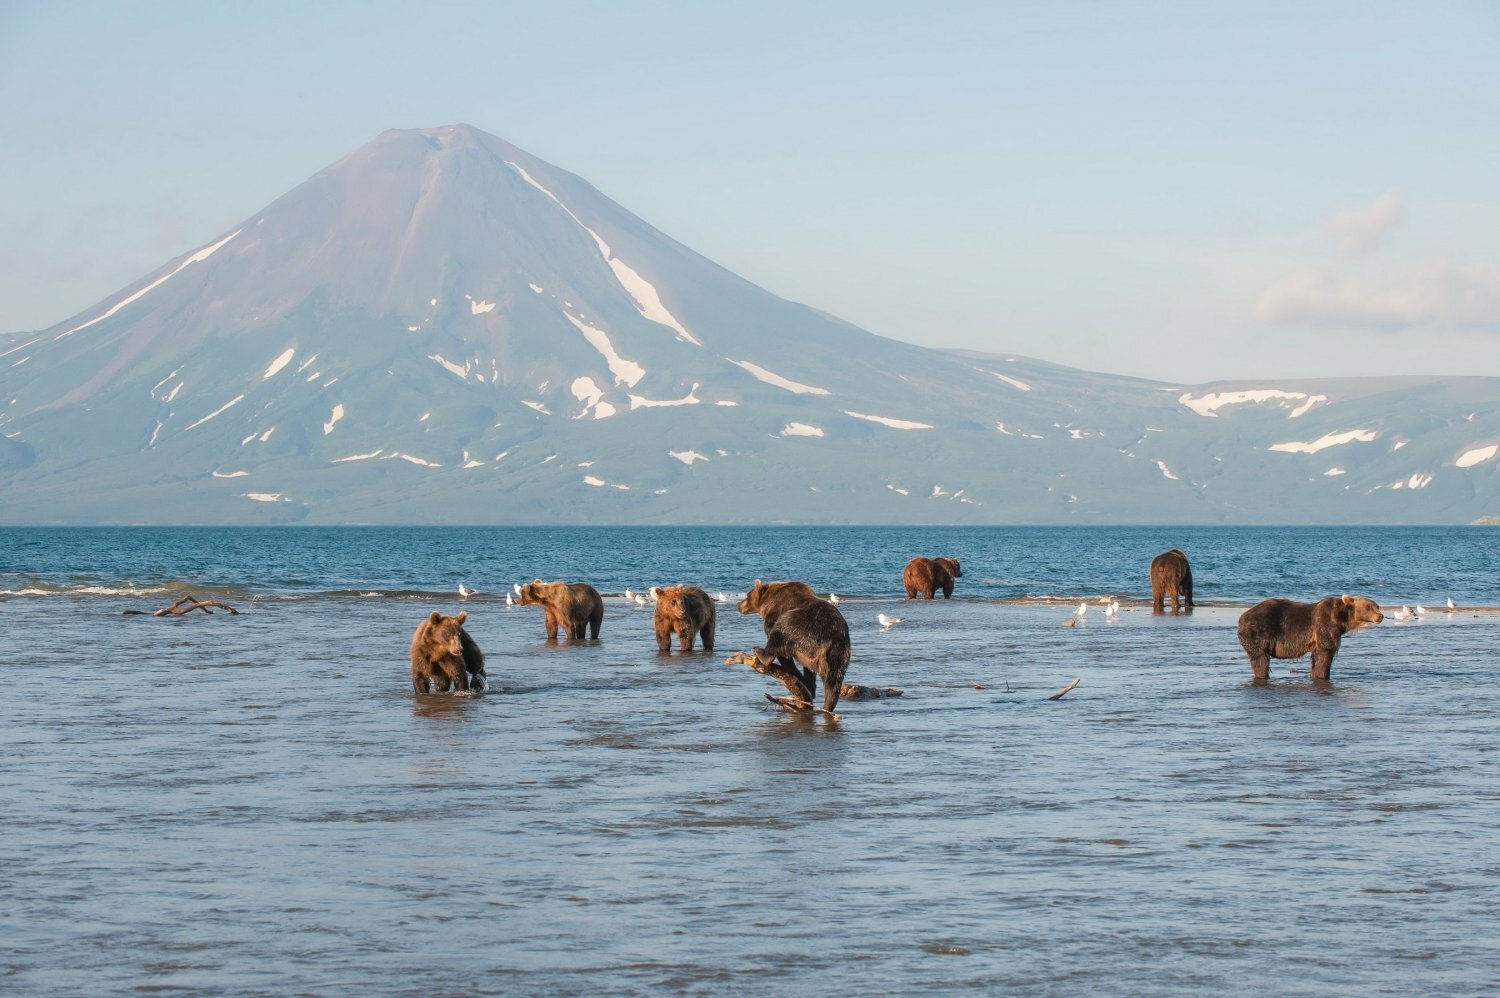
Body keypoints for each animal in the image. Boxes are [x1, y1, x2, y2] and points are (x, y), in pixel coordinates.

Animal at [1230, 591, 1380, 684]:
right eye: (1368, 607)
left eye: (1376, 606)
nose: (1381, 615)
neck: (1342, 618)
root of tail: (1241, 619)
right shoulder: (1325, 625)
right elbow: (1325, 654)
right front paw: (1323, 675)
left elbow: (1316, 657)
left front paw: (1314, 674)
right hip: (1258, 632)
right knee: (1260, 660)